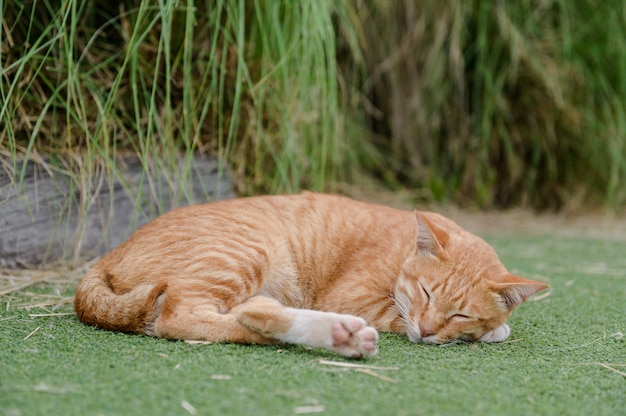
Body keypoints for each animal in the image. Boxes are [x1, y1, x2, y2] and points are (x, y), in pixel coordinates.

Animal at [73, 192, 544, 358]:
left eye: (460, 313)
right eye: (426, 293)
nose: (428, 332)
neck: (401, 250)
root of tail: (109, 254)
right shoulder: (357, 299)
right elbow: (397, 316)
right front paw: (495, 331)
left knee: (248, 314)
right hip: (245, 252)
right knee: (180, 317)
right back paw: (335, 334)